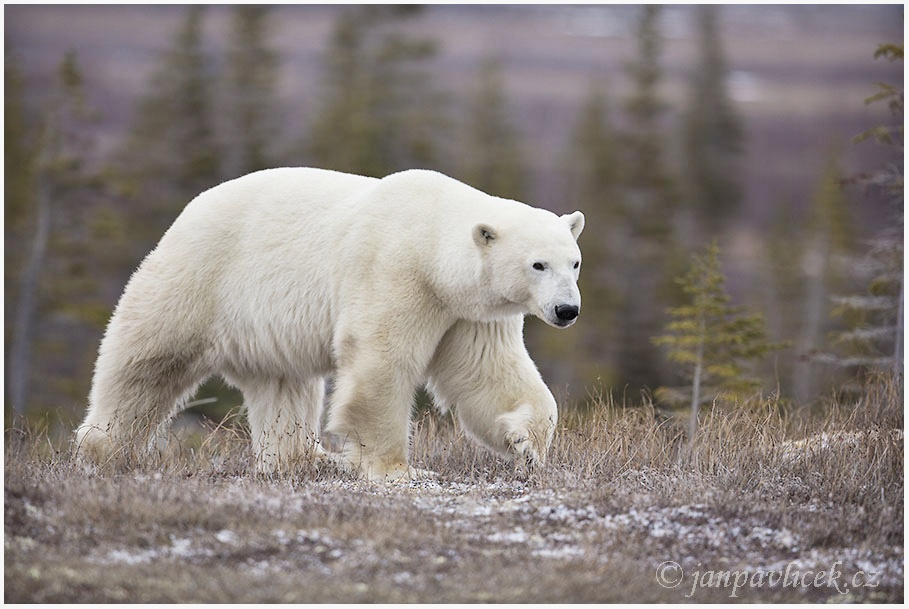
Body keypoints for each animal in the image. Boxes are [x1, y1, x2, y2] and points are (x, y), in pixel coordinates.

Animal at [74, 167, 584, 480]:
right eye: (538, 264)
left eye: (574, 262)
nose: (567, 310)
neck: (430, 240)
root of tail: (188, 210)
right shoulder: (393, 272)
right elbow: (381, 363)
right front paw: (397, 470)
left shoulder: (465, 311)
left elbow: (488, 374)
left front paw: (527, 445)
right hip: (200, 276)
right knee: (146, 360)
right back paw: (102, 447)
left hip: (266, 332)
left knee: (284, 387)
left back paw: (309, 458)